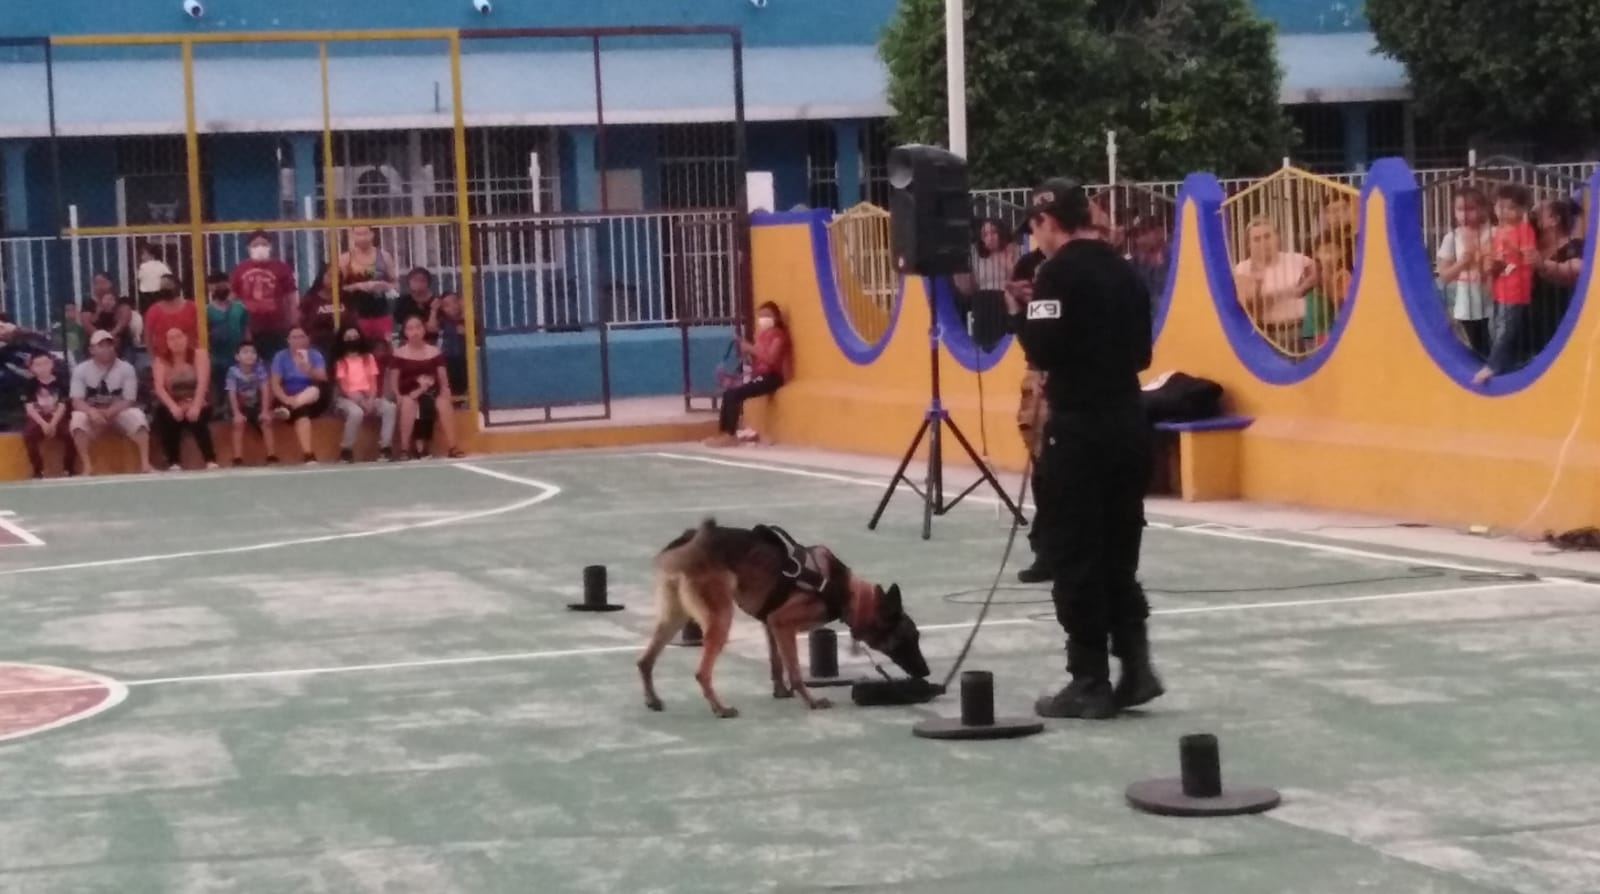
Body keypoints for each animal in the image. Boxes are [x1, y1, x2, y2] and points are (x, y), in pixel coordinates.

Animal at [636, 521, 934, 716]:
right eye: (909, 638)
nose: (926, 672)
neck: (847, 592)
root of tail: (686, 541)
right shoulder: (783, 623)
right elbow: (795, 671)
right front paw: (811, 702)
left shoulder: (771, 624)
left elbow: (777, 664)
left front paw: (781, 692)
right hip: (720, 619)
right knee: (701, 673)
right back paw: (719, 708)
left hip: (674, 618)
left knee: (644, 661)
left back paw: (652, 700)